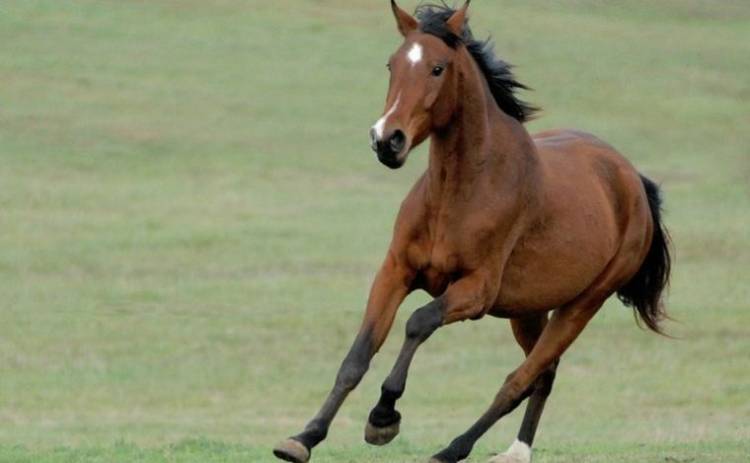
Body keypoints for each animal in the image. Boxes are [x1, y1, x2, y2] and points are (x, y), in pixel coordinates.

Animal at [274, 1, 672, 462]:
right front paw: (303, 438)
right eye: (392, 64)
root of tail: (633, 181)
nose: (386, 140)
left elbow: (419, 322)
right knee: (544, 374)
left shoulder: (476, 291)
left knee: (520, 379)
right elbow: (358, 356)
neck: (459, 193)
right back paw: (514, 451)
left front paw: (383, 417)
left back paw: (454, 449)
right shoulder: (395, 271)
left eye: (438, 68)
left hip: (582, 305)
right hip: (528, 309)